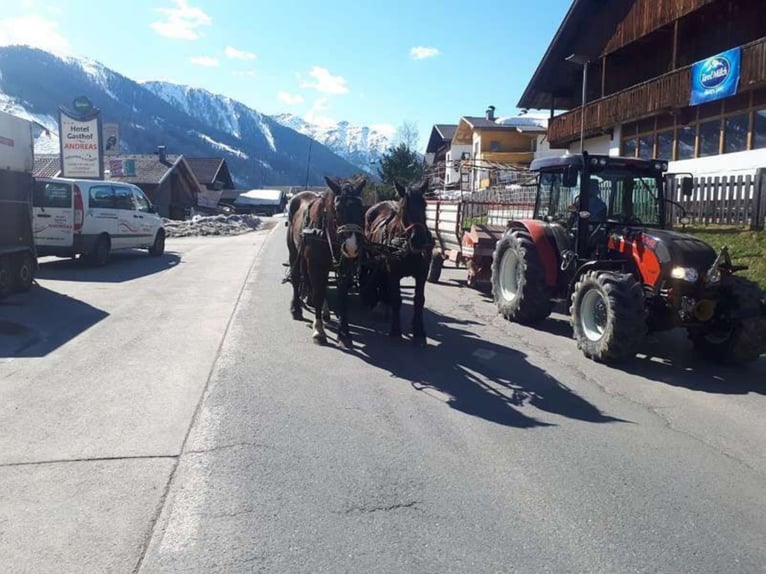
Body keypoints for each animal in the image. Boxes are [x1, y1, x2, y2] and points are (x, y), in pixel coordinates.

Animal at [286, 174, 368, 346]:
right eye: (338, 209)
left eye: (361, 208)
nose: (351, 247)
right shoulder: (316, 266)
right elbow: (317, 293)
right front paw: (319, 330)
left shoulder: (345, 268)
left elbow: (342, 297)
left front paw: (344, 333)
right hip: (294, 252)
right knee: (297, 278)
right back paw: (296, 308)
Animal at [364, 179, 436, 342]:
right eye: (404, 207)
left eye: (425, 205)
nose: (419, 240)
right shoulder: (393, 272)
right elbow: (397, 299)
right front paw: (396, 331)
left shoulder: (422, 273)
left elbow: (419, 300)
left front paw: (418, 331)